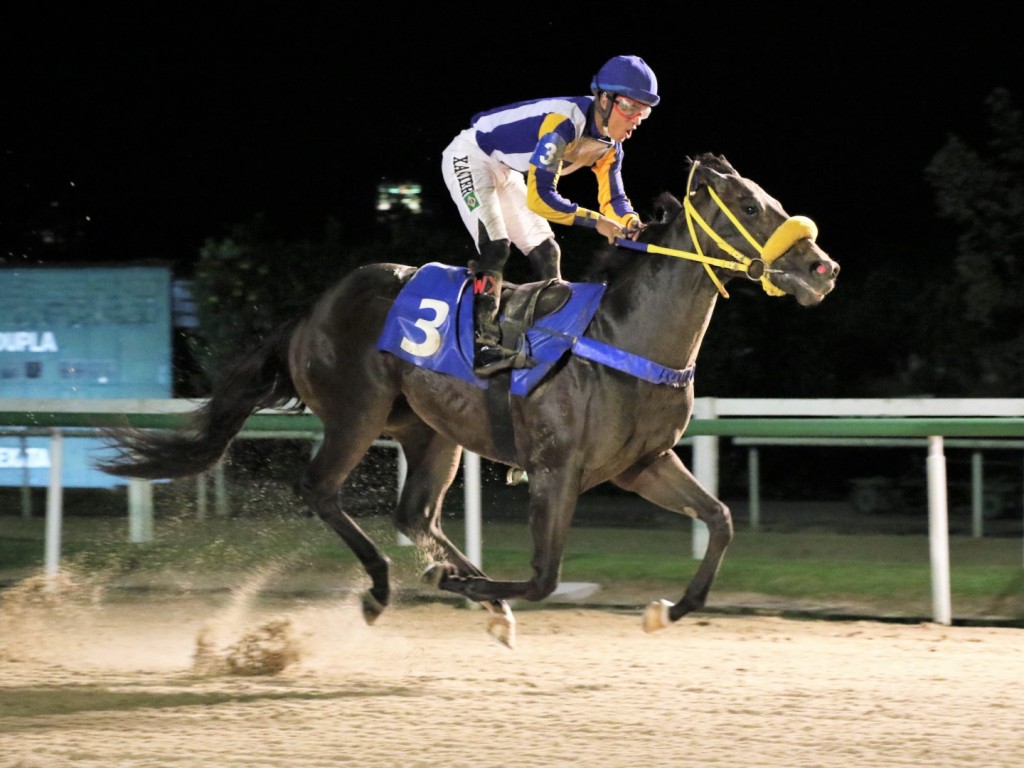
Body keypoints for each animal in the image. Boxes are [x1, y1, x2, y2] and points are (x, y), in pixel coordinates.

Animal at [101, 153, 839, 647]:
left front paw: (668, 609)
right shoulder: (556, 470)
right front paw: (461, 587)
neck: (622, 337)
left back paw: (470, 595)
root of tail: (311, 311)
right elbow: (543, 576)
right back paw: (385, 589)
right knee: (319, 490)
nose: (822, 267)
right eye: (751, 208)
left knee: (414, 514)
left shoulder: (643, 464)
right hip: (356, 413)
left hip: (431, 432)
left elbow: (720, 520)